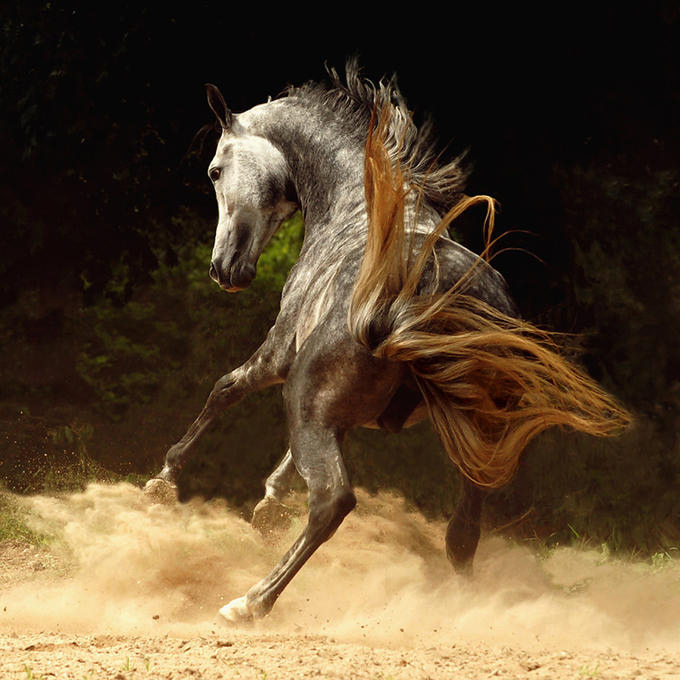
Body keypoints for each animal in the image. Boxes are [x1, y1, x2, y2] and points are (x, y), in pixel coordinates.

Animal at [145, 62, 632, 620]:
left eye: (214, 171)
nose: (224, 270)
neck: (355, 208)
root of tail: (418, 292)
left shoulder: (281, 354)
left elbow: (225, 389)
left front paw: (164, 479)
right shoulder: (336, 408)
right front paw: (268, 502)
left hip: (307, 401)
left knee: (332, 501)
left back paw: (250, 602)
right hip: (474, 436)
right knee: (462, 533)